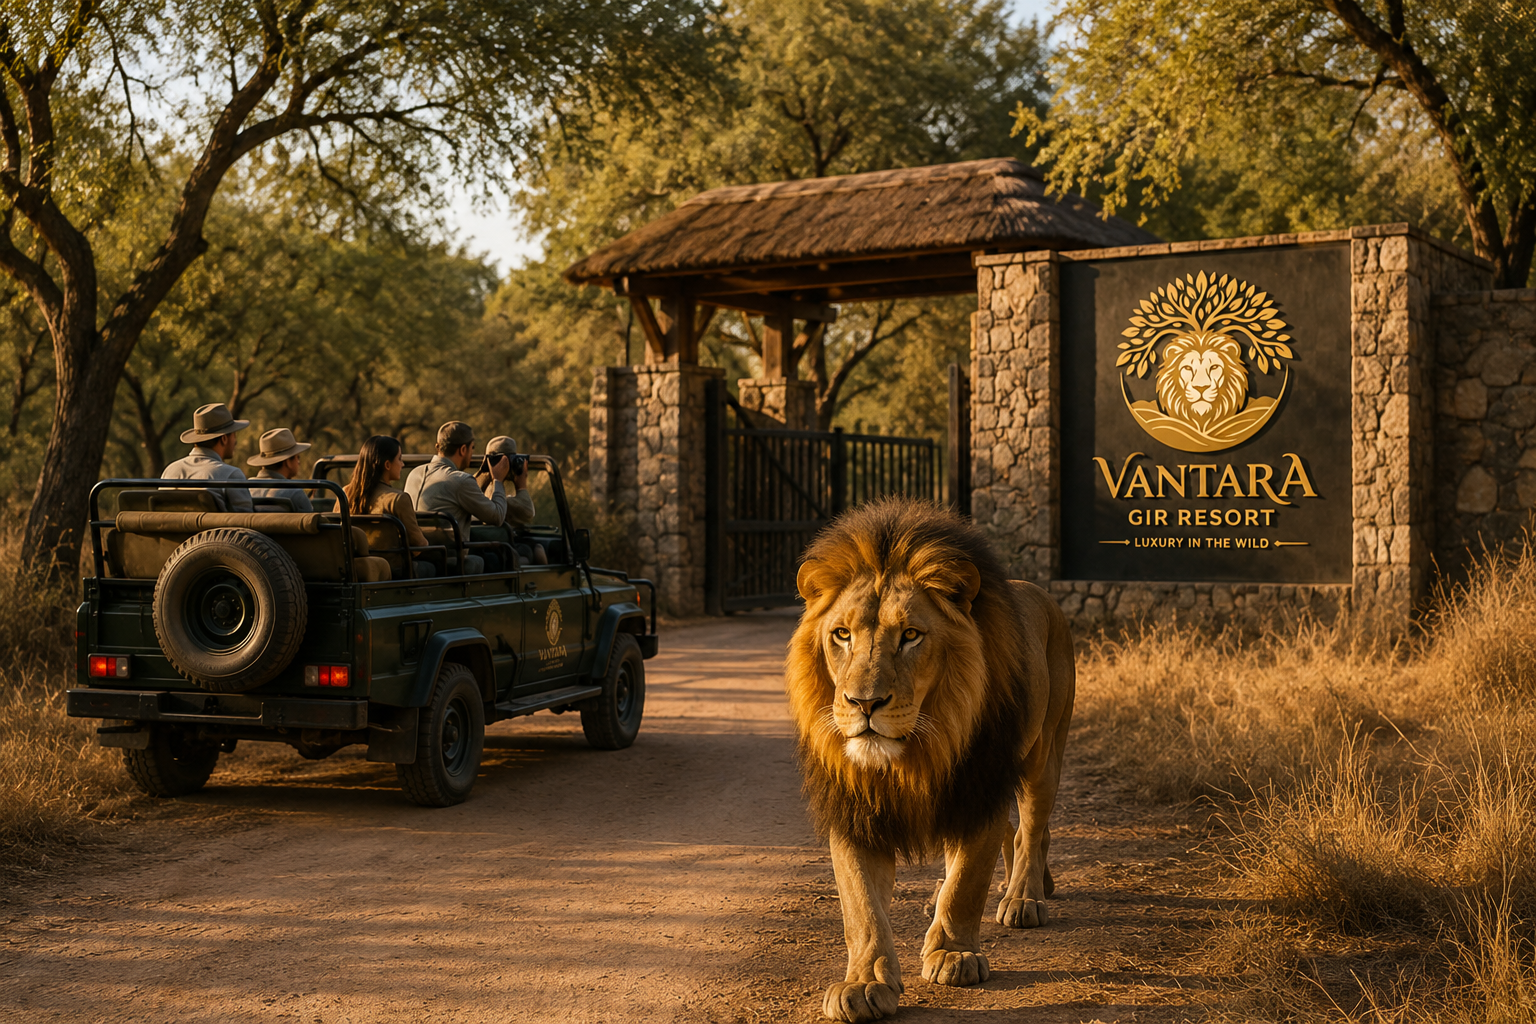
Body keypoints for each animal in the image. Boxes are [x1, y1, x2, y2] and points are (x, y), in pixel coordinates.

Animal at [788, 498, 1075, 1022]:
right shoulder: (854, 808)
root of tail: (1039, 592)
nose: (864, 703)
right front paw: (864, 982)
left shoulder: (980, 784)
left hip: (1043, 755)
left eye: (910, 635)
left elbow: (968, 882)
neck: (916, 752)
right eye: (841, 634)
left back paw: (1024, 896)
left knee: (1031, 830)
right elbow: (861, 906)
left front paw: (954, 954)